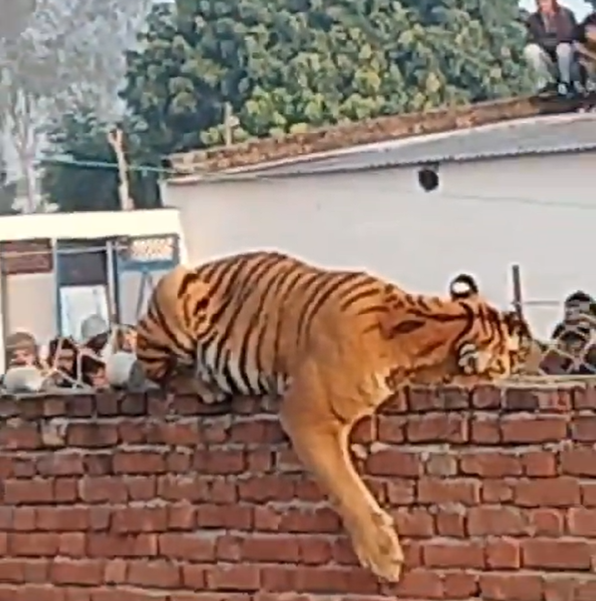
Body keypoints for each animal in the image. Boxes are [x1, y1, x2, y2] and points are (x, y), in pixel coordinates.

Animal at [136, 250, 536, 580]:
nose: (526, 334)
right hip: (173, 294)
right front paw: (383, 556)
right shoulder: (307, 415)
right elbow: (344, 485)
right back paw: (206, 384)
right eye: (511, 353)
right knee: (162, 374)